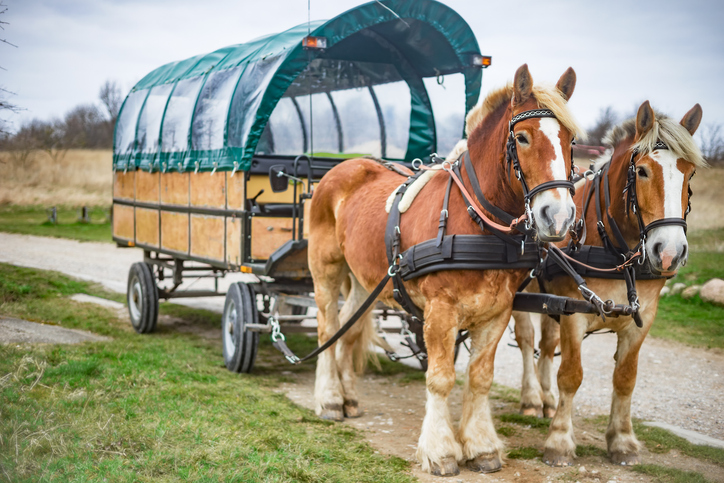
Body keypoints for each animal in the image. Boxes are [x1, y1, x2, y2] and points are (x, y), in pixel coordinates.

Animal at [307, 64, 584, 475]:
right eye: (522, 137)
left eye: (570, 141)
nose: (559, 216)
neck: (476, 220)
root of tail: (347, 164)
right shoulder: (440, 311)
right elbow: (440, 379)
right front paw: (440, 450)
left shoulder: (496, 312)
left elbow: (480, 378)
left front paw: (482, 446)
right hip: (325, 267)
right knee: (327, 326)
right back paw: (328, 399)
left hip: (364, 279)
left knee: (349, 328)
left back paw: (348, 398)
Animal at [509, 101, 704, 466]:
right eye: (642, 171)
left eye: (689, 172)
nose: (669, 252)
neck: (615, 250)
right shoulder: (574, 313)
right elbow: (571, 375)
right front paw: (560, 441)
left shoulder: (643, 318)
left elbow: (625, 379)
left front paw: (622, 441)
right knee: (527, 341)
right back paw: (530, 398)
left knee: (546, 341)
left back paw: (545, 399)